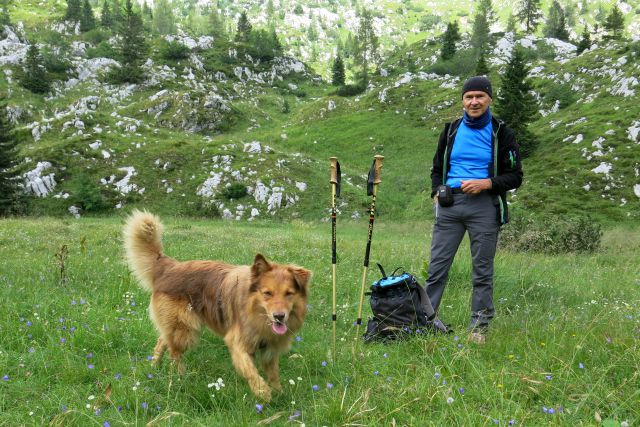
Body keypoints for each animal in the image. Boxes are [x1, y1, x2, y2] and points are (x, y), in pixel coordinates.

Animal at [123, 211, 312, 402]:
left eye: (289, 293)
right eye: (267, 293)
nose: (279, 316)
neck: (254, 310)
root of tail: (169, 266)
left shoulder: (269, 349)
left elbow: (273, 374)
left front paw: (279, 393)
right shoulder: (237, 343)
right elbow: (251, 371)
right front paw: (263, 393)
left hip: (177, 327)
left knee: (163, 341)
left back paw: (154, 366)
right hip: (185, 330)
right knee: (174, 352)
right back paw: (180, 377)